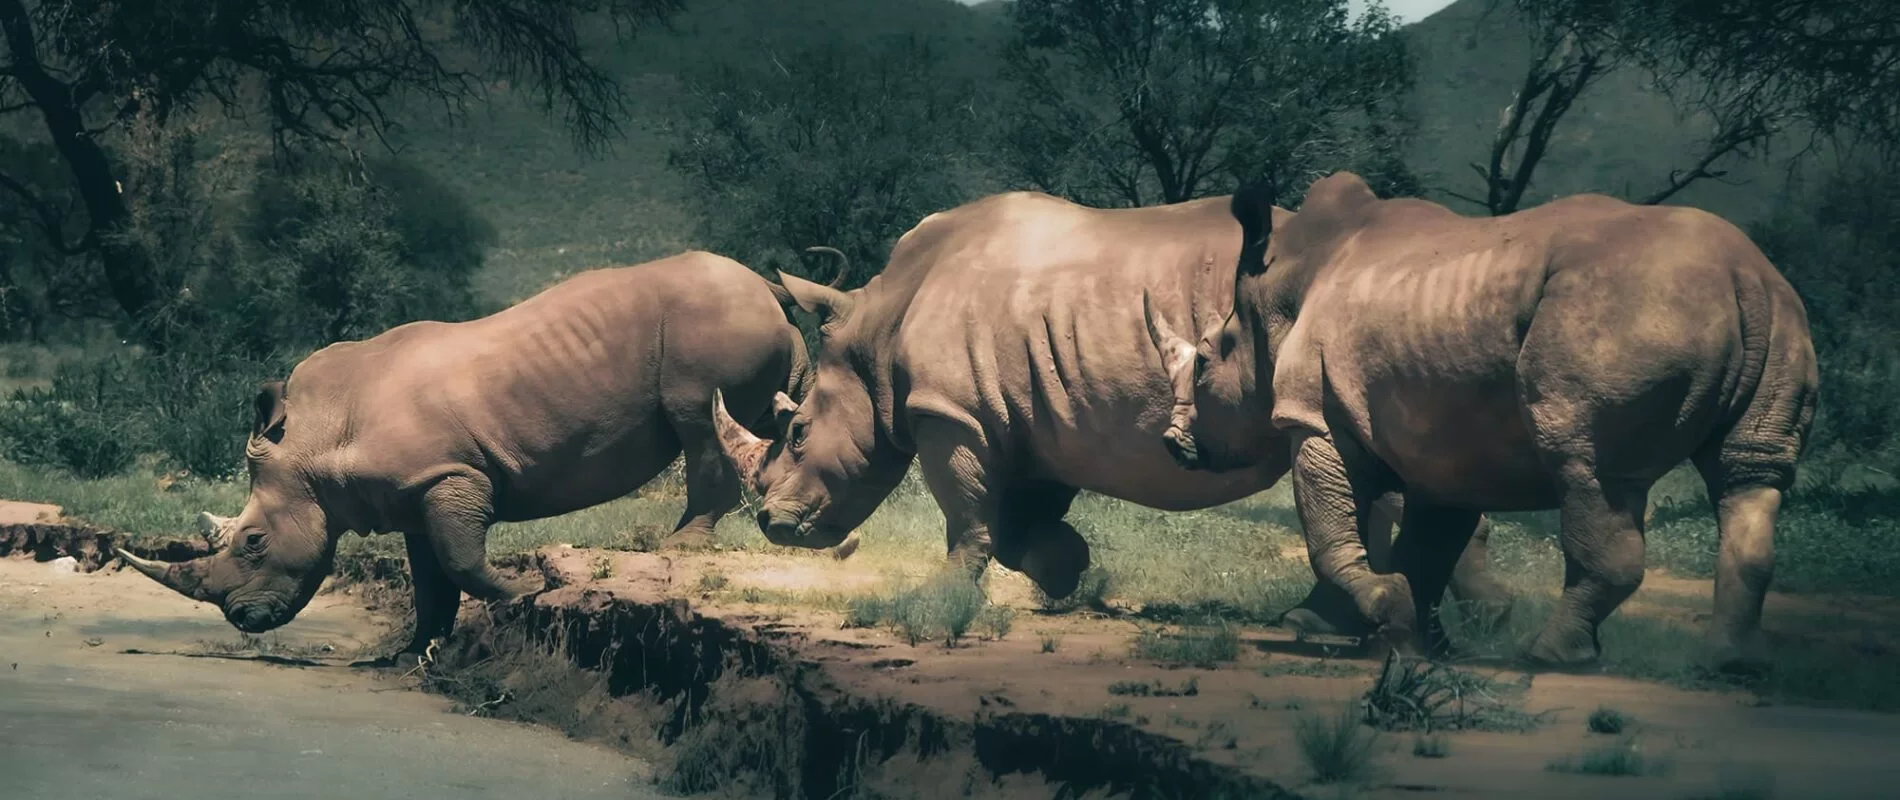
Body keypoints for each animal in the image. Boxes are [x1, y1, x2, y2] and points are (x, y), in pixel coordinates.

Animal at [115, 251, 814, 661]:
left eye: (253, 542)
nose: (242, 619)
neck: (316, 440)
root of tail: (763, 284)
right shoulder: (410, 493)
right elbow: (431, 577)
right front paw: (417, 651)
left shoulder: (451, 475)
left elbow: (459, 560)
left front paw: (526, 590)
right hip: (746, 322)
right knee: (770, 412)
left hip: (709, 324)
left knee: (699, 419)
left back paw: (683, 544)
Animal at [707, 190, 1513, 635]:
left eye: (798, 432)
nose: (772, 525)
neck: (877, 327)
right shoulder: (1035, 415)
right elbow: (1014, 521)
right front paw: (1064, 570)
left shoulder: (953, 411)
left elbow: (966, 512)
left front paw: (940, 600)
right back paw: (1458, 619)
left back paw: (1346, 623)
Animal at [1148, 172, 1818, 671]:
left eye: (1204, 359)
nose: (1174, 443)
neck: (1271, 301)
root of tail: (1745, 278)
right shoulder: (1445, 441)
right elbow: (1426, 546)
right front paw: (1408, 636)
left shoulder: (1315, 418)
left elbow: (1331, 534)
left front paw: (1371, 617)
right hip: (1780, 317)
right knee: (1749, 473)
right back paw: (1733, 663)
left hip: (1625, 311)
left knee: (1589, 466)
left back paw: (1549, 656)